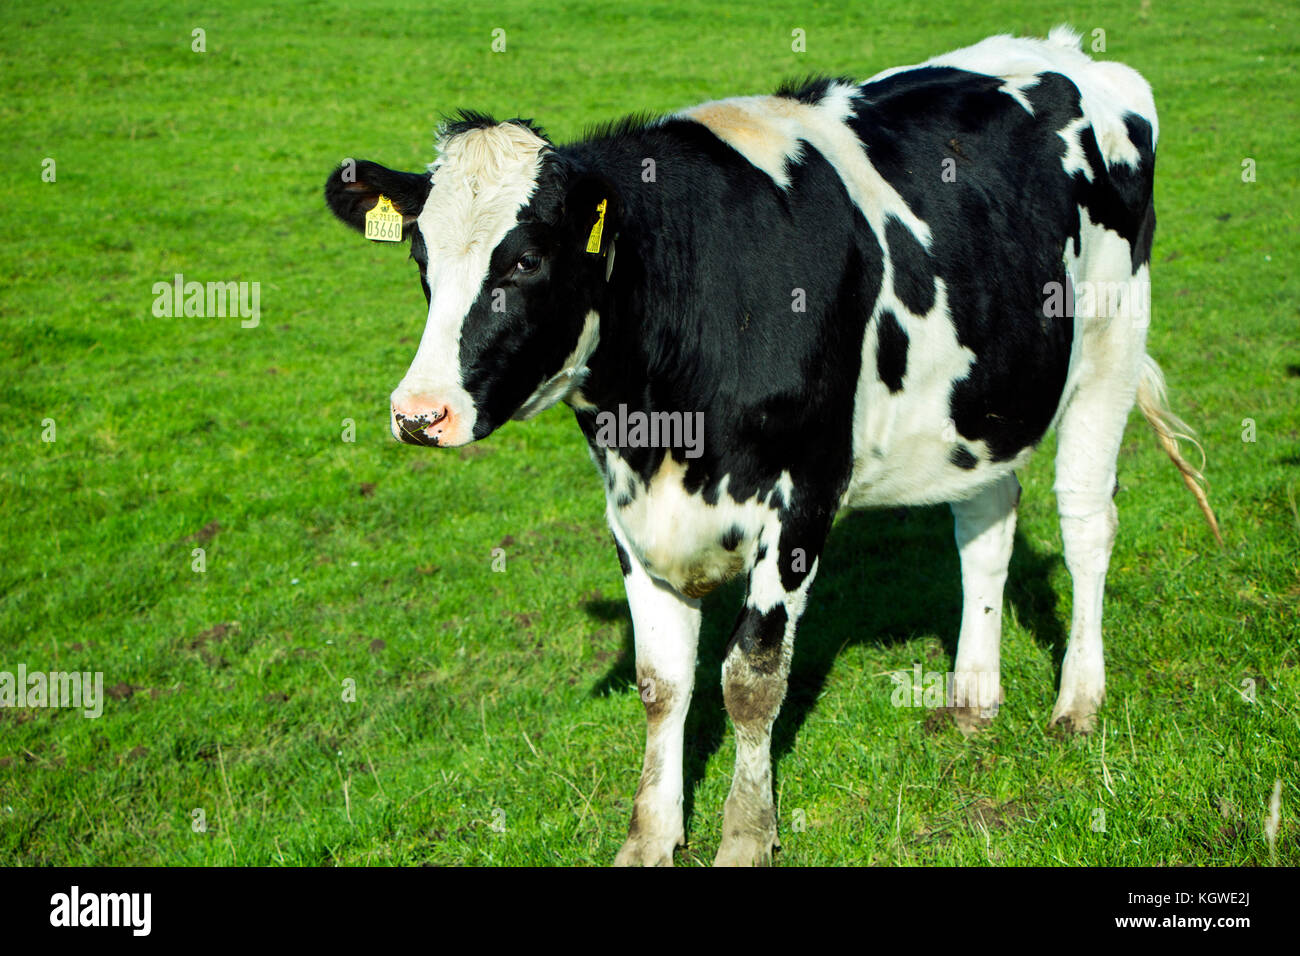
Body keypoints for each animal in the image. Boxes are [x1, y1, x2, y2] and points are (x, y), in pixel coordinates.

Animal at [323, 26, 1220, 866]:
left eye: (528, 260)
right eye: (421, 255)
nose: (419, 413)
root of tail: (1067, 51)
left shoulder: (805, 492)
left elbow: (750, 680)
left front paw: (747, 834)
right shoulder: (629, 508)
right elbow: (661, 683)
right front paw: (650, 836)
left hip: (1110, 344)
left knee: (1086, 522)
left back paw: (1078, 702)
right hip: (983, 397)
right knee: (985, 531)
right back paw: (972, 699)